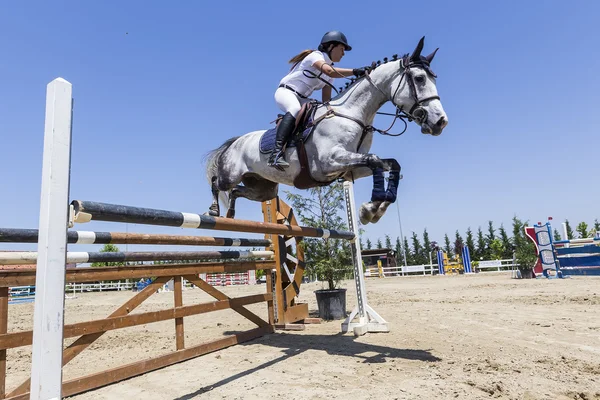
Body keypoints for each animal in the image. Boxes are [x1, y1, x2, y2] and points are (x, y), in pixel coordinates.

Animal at [204, 36, 448, 225]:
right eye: (419, 78)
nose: (440, 122)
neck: (352, 114)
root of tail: (234, 142)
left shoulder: (350, 167)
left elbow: (389, 163)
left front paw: (373, 209)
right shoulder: (328, 162)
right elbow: (376, 160)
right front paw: (371, 208)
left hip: (263, 188)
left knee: (238, 192)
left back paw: (231, 214)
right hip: (231, 174)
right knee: (218, 182)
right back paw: (215, 211)